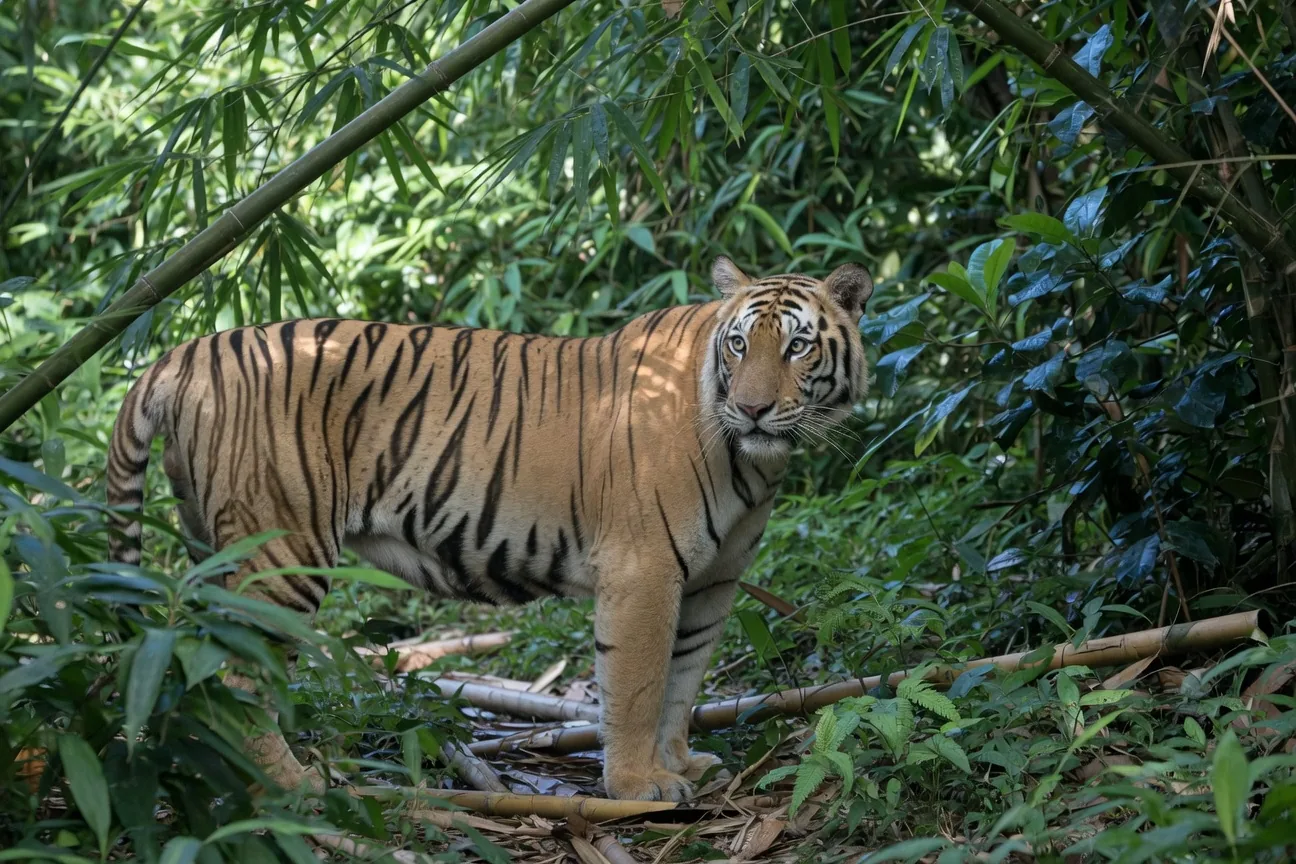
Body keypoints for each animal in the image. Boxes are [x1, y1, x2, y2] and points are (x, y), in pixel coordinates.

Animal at [105, 256, 873, 802]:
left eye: (798, 347)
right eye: (739, 344)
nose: (751, 409)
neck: (753, 463)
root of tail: (187, 350)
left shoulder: (713, 582)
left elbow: (683, 683)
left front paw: (682, 764)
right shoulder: (644, 570)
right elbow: (637, 686)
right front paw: (638, 787)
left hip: (214, 544)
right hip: (284, 553)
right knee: (236, 673)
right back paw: (293, 785)